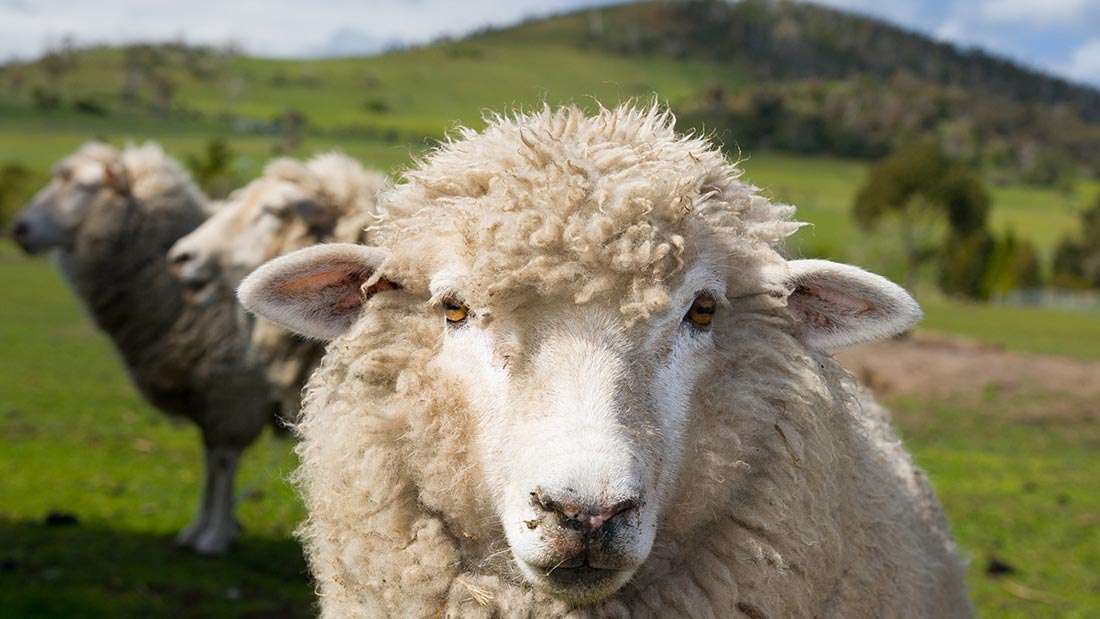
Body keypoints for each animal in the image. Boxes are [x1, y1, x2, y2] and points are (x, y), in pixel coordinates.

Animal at [10, 141, 277, 556]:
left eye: (85, 187)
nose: (18, 229)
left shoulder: (233, 394)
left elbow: (221, 463)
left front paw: (214, 537)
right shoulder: (213, 398)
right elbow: (208, 462)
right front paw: (197, 529)